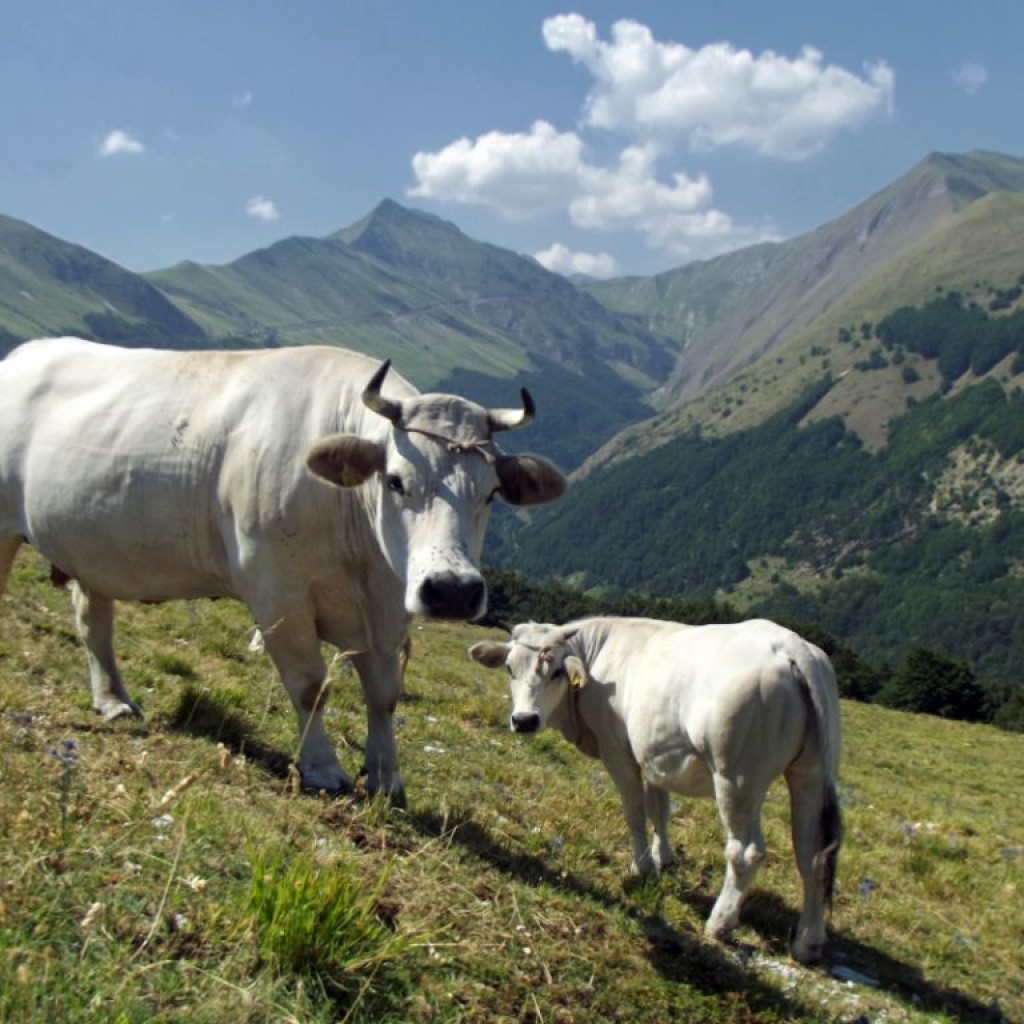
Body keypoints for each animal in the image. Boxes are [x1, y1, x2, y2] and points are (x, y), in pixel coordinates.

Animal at [0, 335, 565, 798]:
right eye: (396, 480)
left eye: (491, 492)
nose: (452, 590)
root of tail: (26, 353)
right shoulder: (278, 594)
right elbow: (311, 685)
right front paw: (323, 769)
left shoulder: (385, 613)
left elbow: (384, 696)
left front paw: (386, 778)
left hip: (93, 545)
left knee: (93, 620)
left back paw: (114, 700)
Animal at [468, 614, 843, 958]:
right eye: (509, 668)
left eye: (557, 671)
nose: (524, 720)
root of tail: (790, 644)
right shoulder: (653, 756)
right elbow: (659, 810)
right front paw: (663, 858)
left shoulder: (617, 753)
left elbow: (635, 813)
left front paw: (642, 867)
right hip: (810, 774)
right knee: (812, 854)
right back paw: (808, 941)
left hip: (737, 777)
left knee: (746, 852)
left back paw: (719, 924)